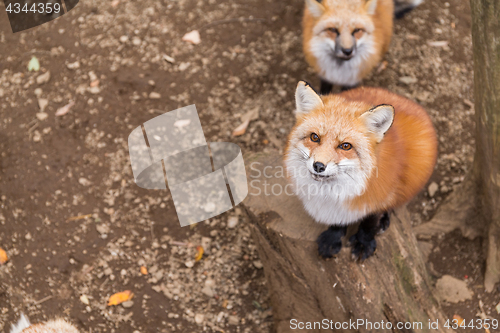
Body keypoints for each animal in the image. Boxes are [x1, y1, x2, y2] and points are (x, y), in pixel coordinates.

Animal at [286, 81, 438, 260]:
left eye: (346, 146)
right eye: (314, 137)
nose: (318, 166)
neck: (331, 193)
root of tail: (402, 97)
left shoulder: (379, 196)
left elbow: (369, 223)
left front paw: (363, 243)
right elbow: (337, 222)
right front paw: (333, 238)